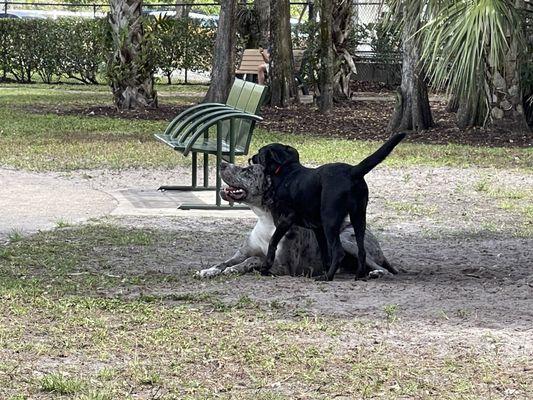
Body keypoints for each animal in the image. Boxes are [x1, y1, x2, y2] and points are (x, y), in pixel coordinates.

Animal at [195, 162, 394, 278]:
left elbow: (255, 260)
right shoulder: (241, 253)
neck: (266, 218)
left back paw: (376, 272)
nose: (222, 163)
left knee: (381, 268)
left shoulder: (284, 267)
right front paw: (208, 270)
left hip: (348, 242)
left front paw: (235, 269)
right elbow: (224, 262)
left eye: (248, 170)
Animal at [249, 134, 404, 282]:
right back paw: (358, 275)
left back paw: (328, 277)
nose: (251, 157)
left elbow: (272, 242)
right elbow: (325, 255)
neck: (285, 172)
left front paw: (265, 267)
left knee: (339, 252)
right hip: (358, 218)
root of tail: (352, 171)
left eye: (260, 152)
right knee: (361, 251)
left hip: (330, 221)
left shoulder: (286, 220)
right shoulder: (318, 229)